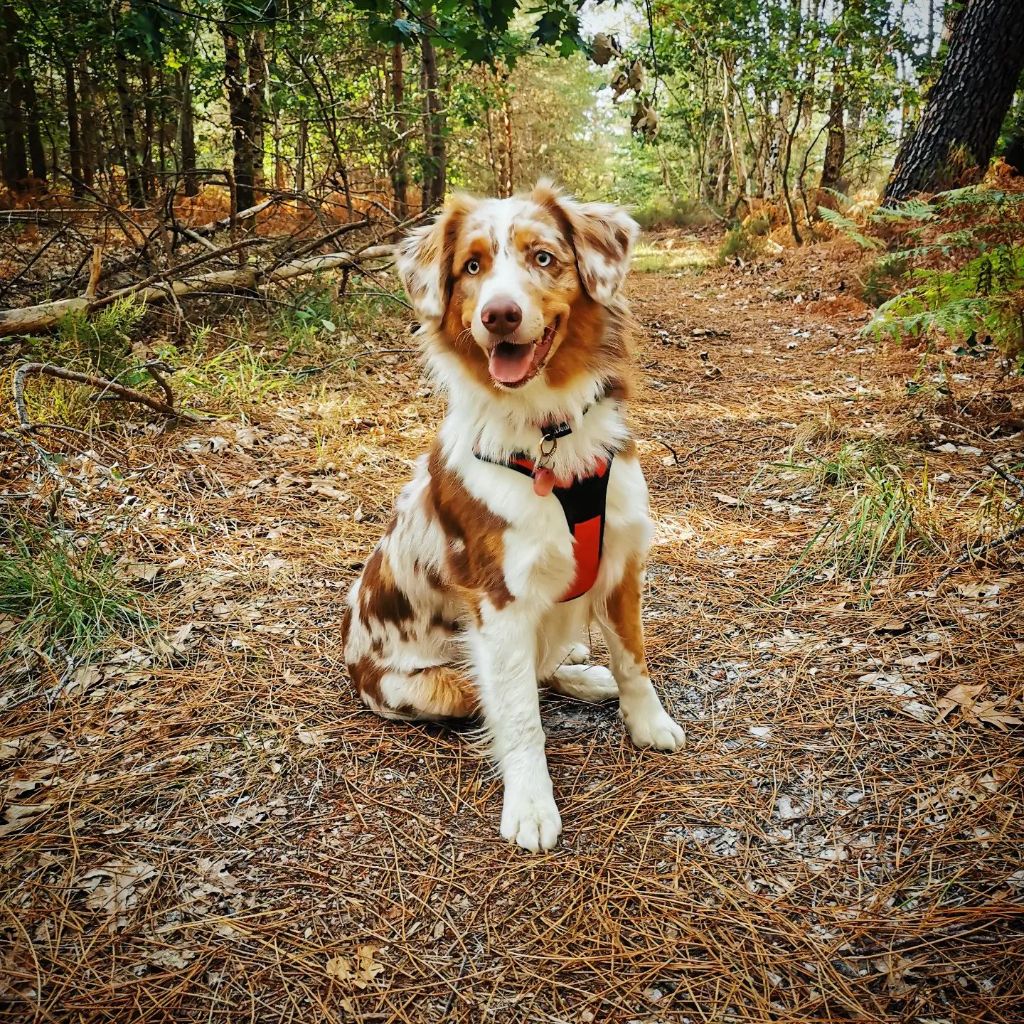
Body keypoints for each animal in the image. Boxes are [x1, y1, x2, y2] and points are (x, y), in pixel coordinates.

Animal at [339, 180, 684, 851]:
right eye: (471, 267)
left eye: (543, 257)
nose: (498, 314)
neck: (549, 434)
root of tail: (352, 662)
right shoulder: (499, 601)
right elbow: (521, 715)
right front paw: (530, 804)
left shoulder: (622, 562)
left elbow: (633, 658)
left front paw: (646, 721)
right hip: (436, 684)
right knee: (503, 690)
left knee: (552, 665)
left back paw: (586, 673)